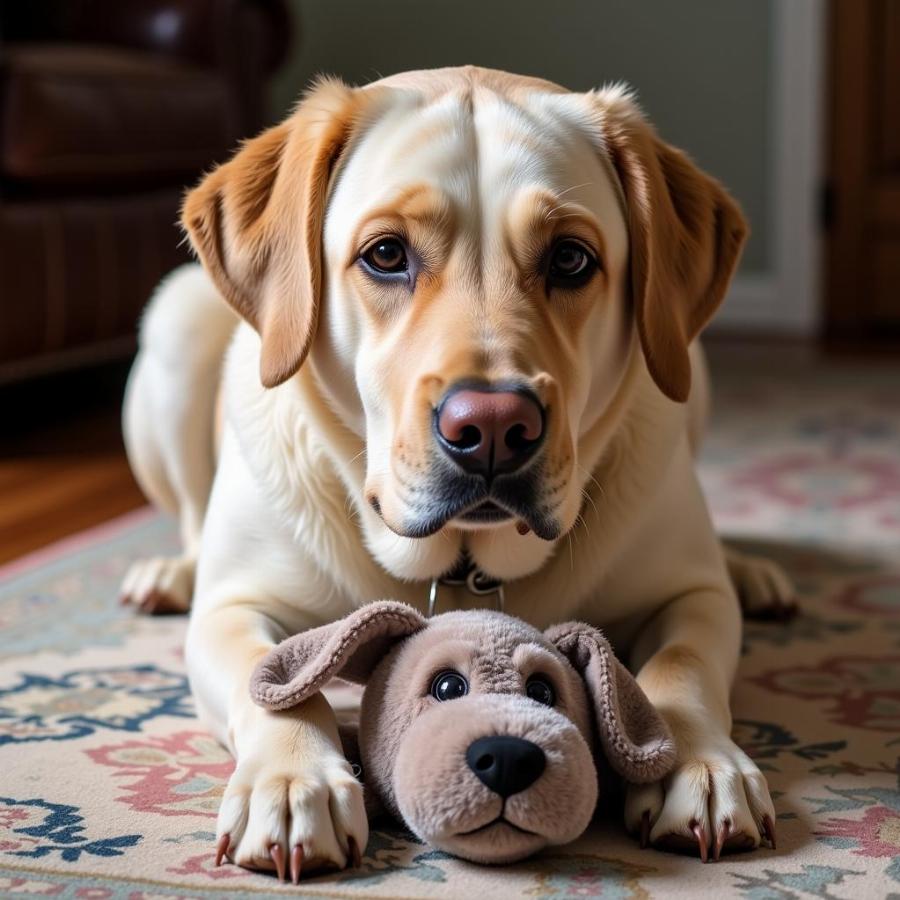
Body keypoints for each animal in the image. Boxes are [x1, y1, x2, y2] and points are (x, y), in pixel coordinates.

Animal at [121, 68, 796, 880]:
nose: (494, 429)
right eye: (385, 254)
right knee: (192, 520)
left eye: (571, 259)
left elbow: (682, 669)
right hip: (176, 320)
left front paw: (696, 765)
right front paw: (292, 780)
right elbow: (273, 686)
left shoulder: (691, 596)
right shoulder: (233, 609)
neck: (465, 567)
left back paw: (754, 572)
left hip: (688, 371)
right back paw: (167, 573)